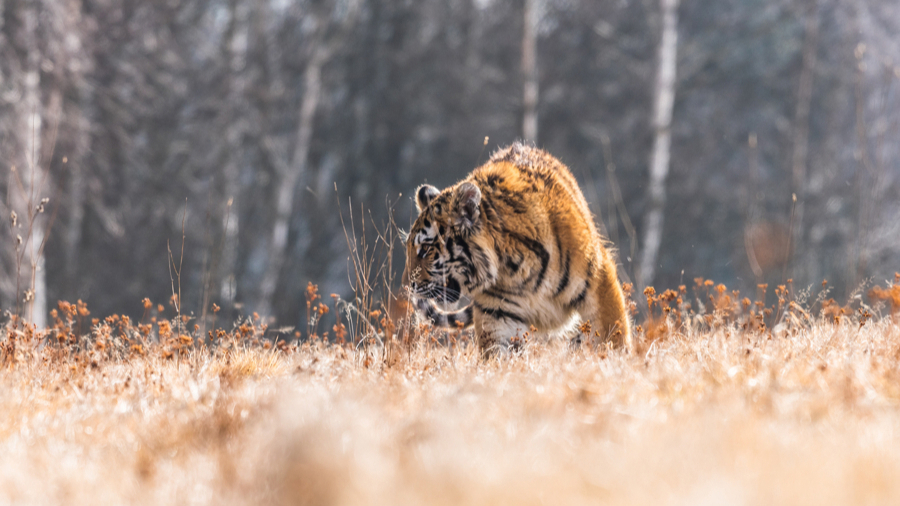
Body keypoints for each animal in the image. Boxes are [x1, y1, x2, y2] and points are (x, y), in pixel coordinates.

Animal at [404, 142, 628, 356]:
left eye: (425, 249)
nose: (409, 286)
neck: (512, 269)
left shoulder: (599, 279)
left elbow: (615, 336)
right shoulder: (497, 315)